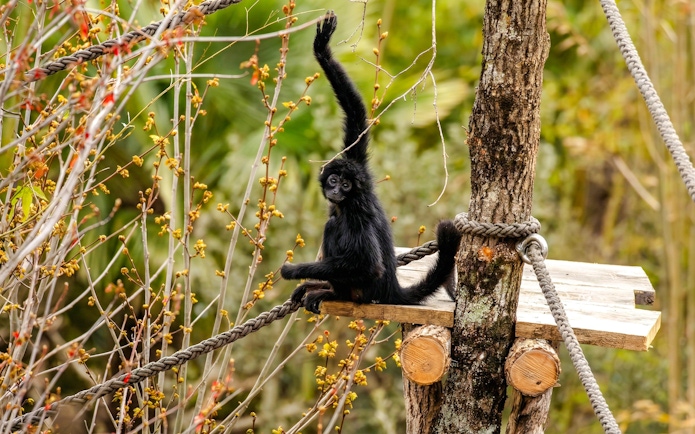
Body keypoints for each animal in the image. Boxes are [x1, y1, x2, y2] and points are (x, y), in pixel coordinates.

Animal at [281, 11, 462, 314]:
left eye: (346, 185)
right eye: (334, 180)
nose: (336, 190)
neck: (348, 200)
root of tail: (390, 290)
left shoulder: (356, 214)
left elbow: (369, 266)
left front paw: (295, 270)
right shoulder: (357, 162)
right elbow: (356, 113)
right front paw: (323, 50)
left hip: (364, 290)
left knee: (334, 226)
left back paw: (330, 292)